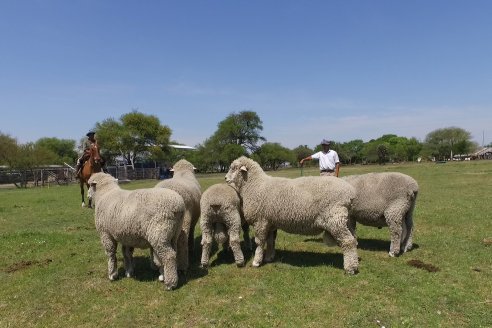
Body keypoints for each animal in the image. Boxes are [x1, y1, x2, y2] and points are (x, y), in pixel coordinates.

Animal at [225, 156, 360, 274]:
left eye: (234, 168)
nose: (225, 178)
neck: (255, 185)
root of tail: (350, 193)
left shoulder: (260, 221)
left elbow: (260, 242)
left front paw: (256, 262)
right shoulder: (270, 222)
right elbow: (270, 242)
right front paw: (269, 258)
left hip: (335, 220)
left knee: (348, 242)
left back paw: (350, 269)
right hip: (345, 220)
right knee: (353, 240)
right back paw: (354, 262)